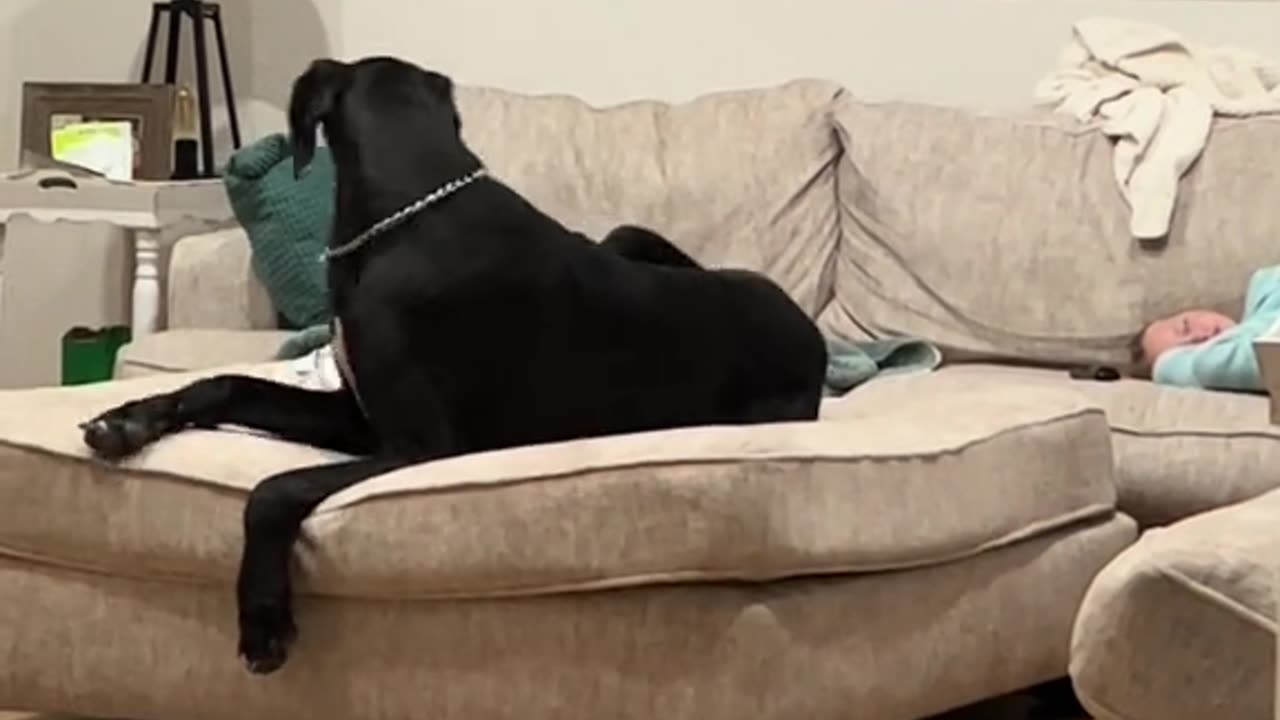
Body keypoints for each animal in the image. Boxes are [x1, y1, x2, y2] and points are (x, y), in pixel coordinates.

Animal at [77, 57, 829, 671]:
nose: (128, 421)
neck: (408, 213)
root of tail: (814, 338)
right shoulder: (358, 418)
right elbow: (228, 384)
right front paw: (131, 419)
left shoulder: (419, 446)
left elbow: (274, 489)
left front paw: (262, 616)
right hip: (628, 237)